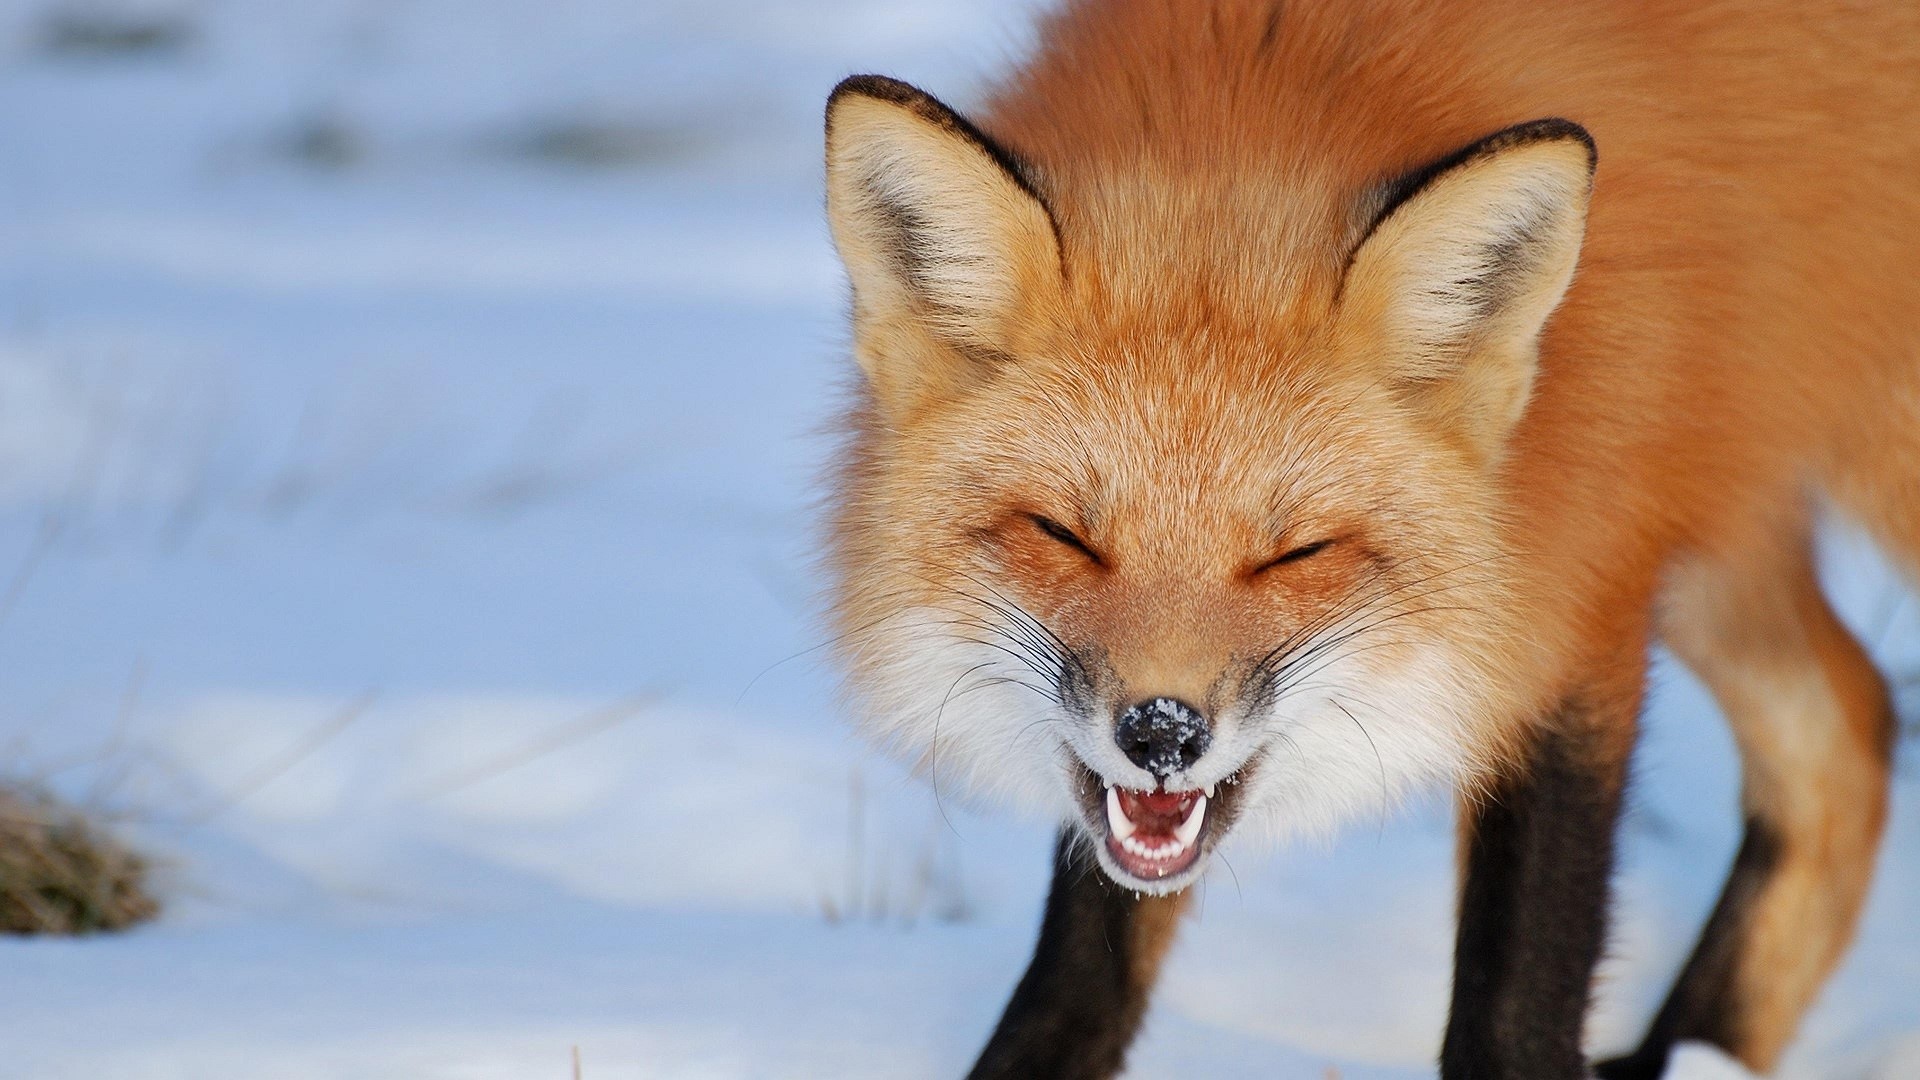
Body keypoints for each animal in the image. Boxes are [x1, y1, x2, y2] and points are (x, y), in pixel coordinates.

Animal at [819, 0, 1917, 1076]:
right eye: (1064, 535)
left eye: (1295, 553)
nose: (1164, 734)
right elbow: (1082, 974)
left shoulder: (1573, 594)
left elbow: (1515, 1001)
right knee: (1847, 727)